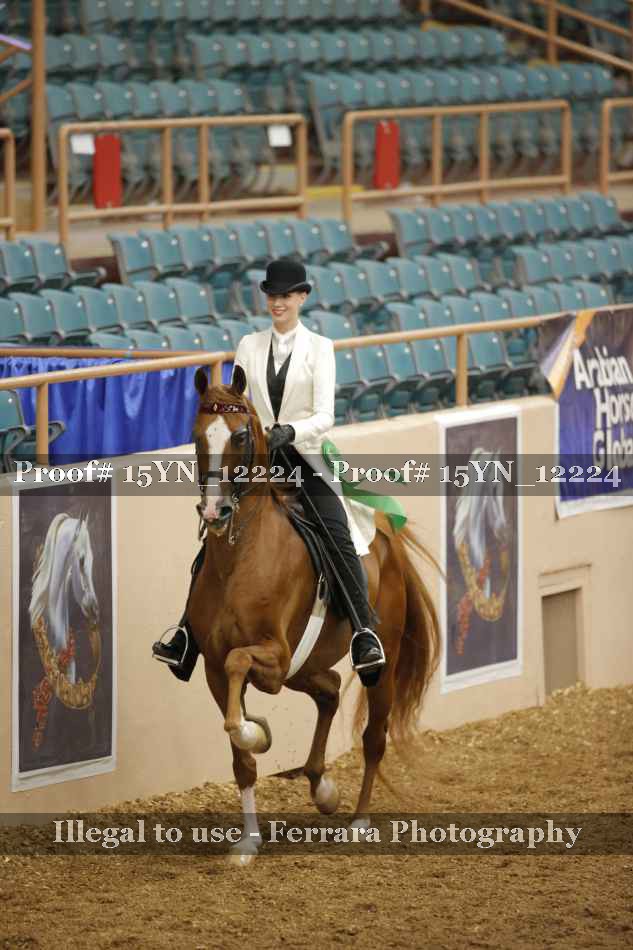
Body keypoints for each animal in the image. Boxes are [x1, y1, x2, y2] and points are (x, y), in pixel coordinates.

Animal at [187, 366, 440, 865]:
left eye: (240, 434)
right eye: (198, 435)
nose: (214, 510)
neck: (240, 559)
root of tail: (385, 533)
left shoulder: (273, 655)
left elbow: (239, 681)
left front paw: (255, 731)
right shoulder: (214, 667)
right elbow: (239, 755)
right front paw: (248, 841)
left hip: (377, 666)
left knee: (373, 736)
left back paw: (358, 822)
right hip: (306, 665)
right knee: (329, 689)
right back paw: (322, 787)